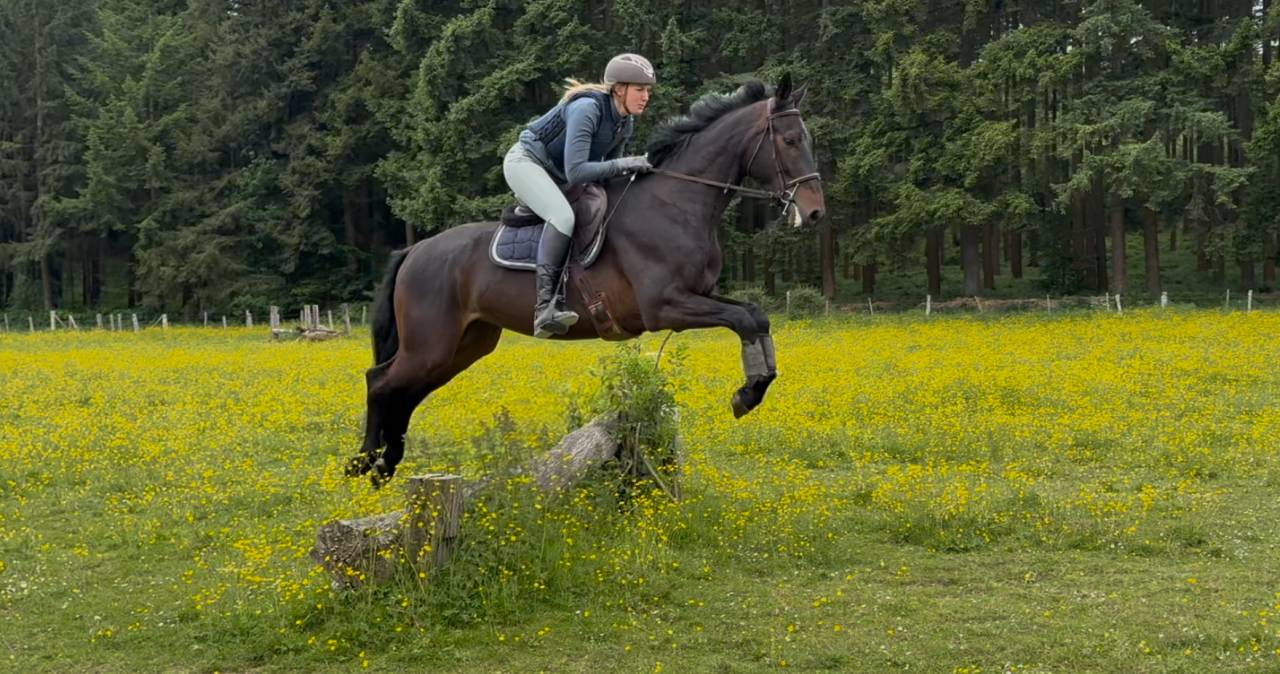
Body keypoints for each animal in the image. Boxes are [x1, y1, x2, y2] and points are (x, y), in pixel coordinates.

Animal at [347, 73, 826, 486]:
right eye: (790, 141)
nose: (815, 212)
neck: (677, 202)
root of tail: (414, 251)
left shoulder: (700, 294)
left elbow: (755, 315)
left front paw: (754, 387)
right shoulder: (666, 306)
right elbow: (744, 320)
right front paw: (747, 394)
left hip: (464, 345)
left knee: (407, 391)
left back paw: (386, 464)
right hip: (431, 343)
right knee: (380, 381)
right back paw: (365, 461)